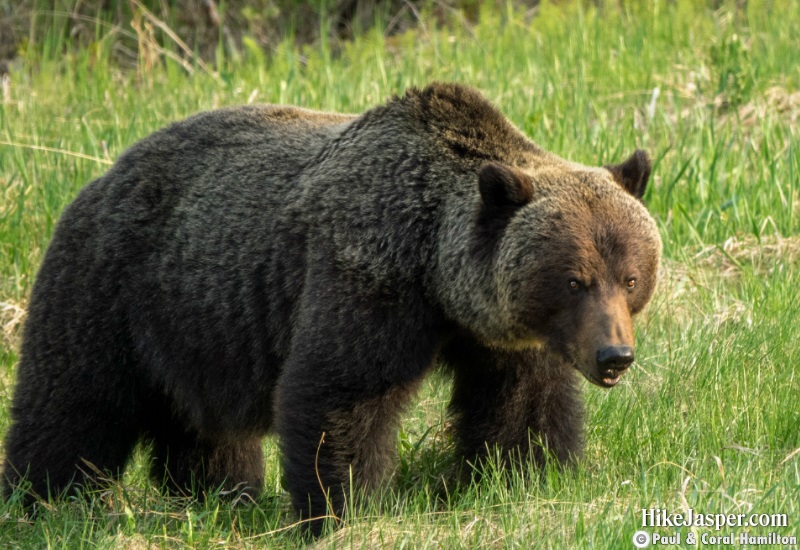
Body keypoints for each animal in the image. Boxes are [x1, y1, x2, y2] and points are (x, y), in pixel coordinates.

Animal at [1, 82, 664, 536]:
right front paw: (346, 508)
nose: (614, 356)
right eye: (575, 280)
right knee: (73, 404)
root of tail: (103, 176)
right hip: (112, 290)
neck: (435, 271)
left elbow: (522, 409)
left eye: (631, 277)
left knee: (203, 426)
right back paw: (42, 502)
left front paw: (527, 480)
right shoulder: (368, 275)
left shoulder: (505, 338)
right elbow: (342, 394)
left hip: (194, 327)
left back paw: (222, 494)